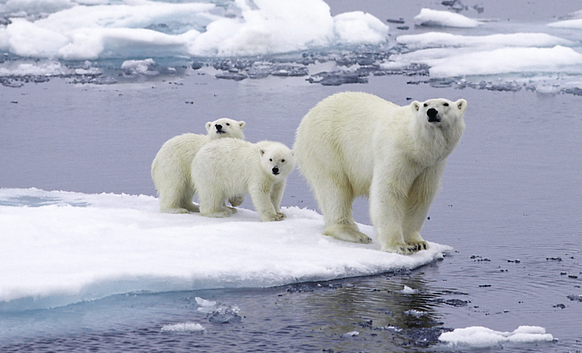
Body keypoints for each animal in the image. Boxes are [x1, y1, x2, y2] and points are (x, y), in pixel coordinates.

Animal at [294, 91, 468, 253]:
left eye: (446, 104)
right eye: (425, 105)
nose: (431, 112)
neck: (413, 144)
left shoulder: (430, 166)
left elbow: (419, 196)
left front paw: (417, 242)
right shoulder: (396, 153)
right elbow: (388, 191)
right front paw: (398, 246)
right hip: (326, 147)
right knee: (334, 188)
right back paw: (353, 233)